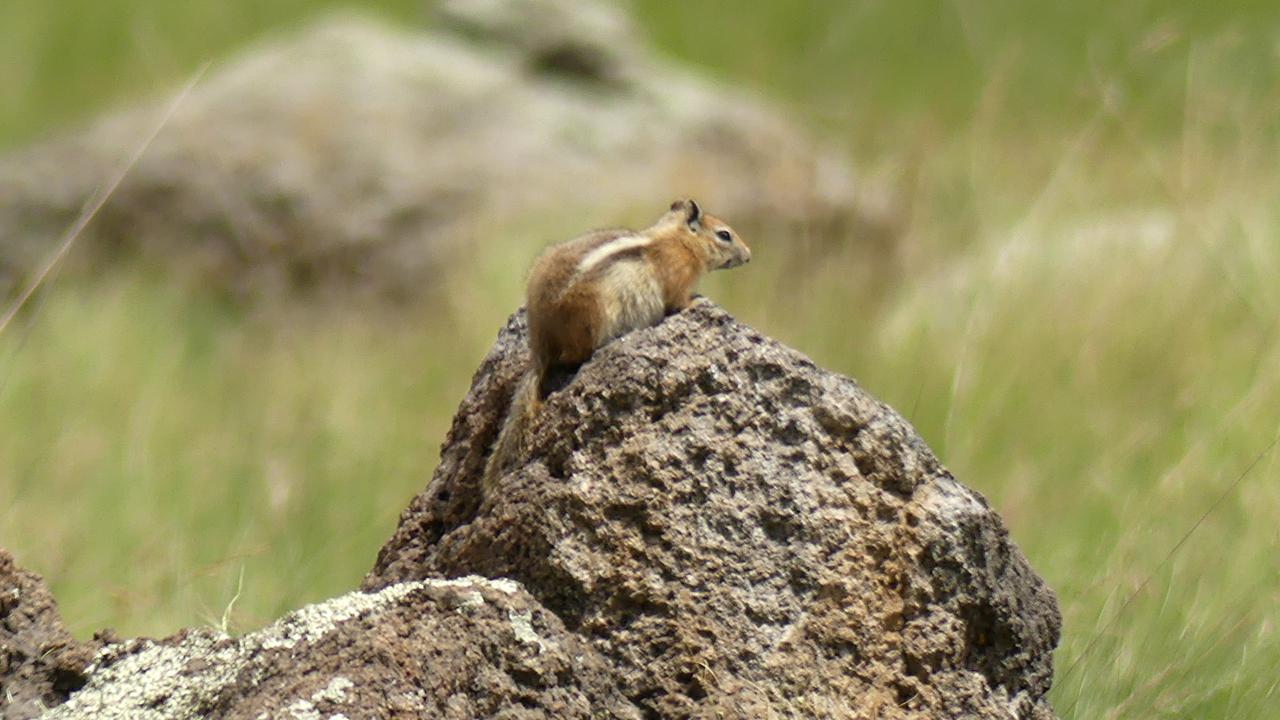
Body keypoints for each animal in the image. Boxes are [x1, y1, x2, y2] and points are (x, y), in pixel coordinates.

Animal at [483, 197, 752, 491]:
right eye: (724, 235)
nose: (749, 255)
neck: (677, 240)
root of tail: (541, 341)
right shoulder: (677, 278)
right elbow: (680, 301)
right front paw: (698, 302)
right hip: (595, 315)